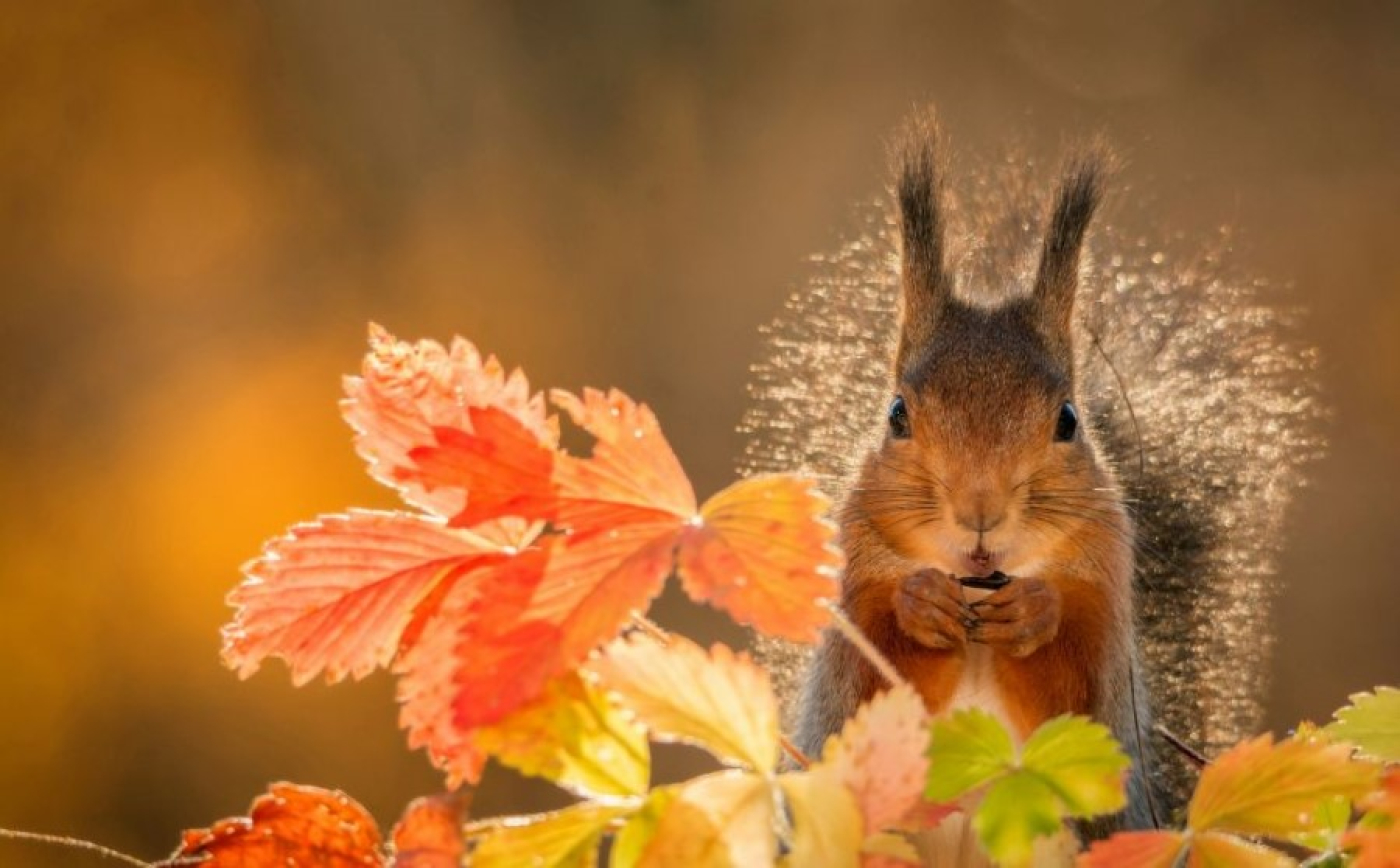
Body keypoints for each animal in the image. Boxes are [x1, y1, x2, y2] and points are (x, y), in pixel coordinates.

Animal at [739, 109, 1327, 840]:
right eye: (897, 414)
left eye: (1068, 420)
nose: (980, 512)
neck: (979, 580)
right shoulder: (849, 598)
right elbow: (868, 689)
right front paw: (919, 603)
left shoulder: (1105, 608)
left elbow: (1074, 699)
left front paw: (1033, 613)